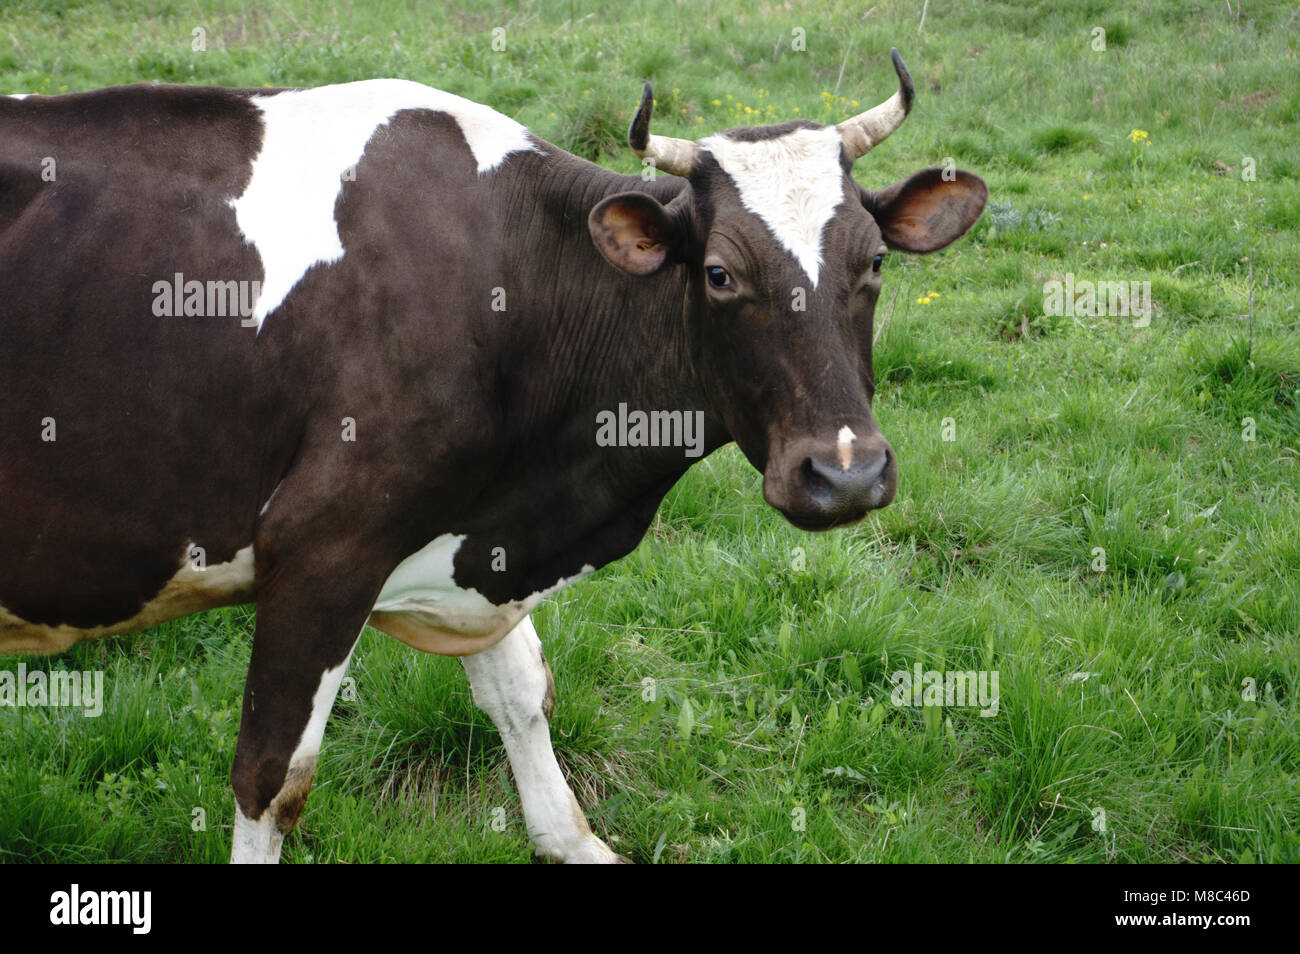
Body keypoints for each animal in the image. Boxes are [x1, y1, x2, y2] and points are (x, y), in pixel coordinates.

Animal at [0, 48, 982, 863]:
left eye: (875, 264)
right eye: (719, 274)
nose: (845, 474)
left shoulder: (482, 542)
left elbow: (523, 693)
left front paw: (573, 840)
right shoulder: (320, 548)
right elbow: (270, 780)